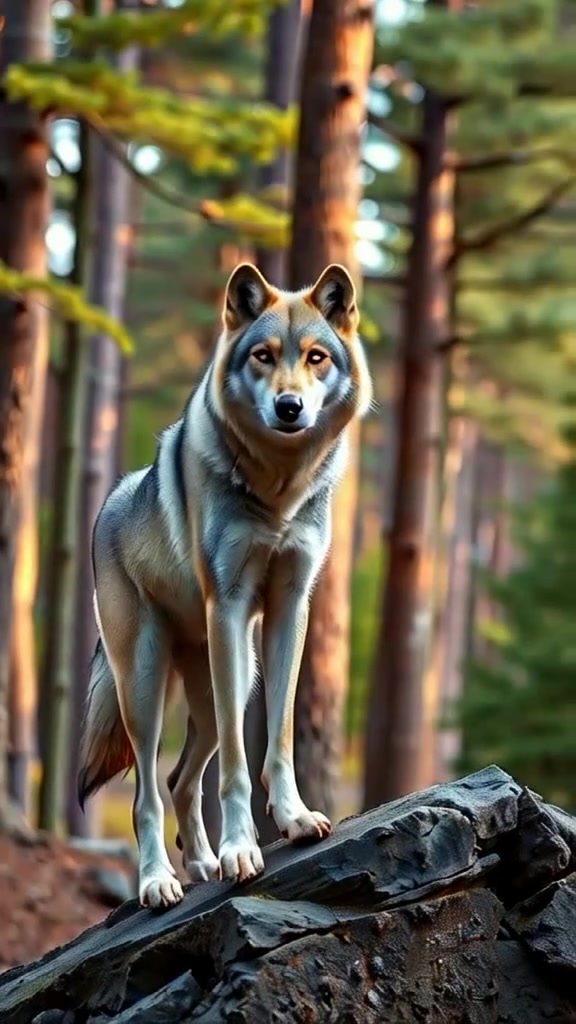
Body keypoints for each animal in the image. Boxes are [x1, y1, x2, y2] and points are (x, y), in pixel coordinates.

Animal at [78, 261, 373, 908]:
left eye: (315, 357)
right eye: (263, 355)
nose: (289, 407)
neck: (278, 488)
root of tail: (108, 503)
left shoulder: (290, 608)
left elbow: (279, 741)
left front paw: (293, 819)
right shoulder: (230, 608)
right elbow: (239, 766)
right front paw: (243, 849)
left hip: (225, 687)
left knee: (179, 779)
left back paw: (202, 864)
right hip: (150, 683)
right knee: (146, 794)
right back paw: (160, 881)